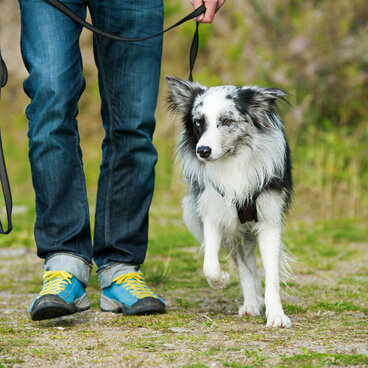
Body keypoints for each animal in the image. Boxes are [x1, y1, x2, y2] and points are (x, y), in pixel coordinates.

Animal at [167, 77, 294, 328]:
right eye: (198, 122)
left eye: (226, 120)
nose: (202, 151)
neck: (234, 161)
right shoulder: (216, 216)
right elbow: (212, 266)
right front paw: (223, 282)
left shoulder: (269, 221)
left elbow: (272, 274)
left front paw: (276, 314)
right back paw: (252, 301)